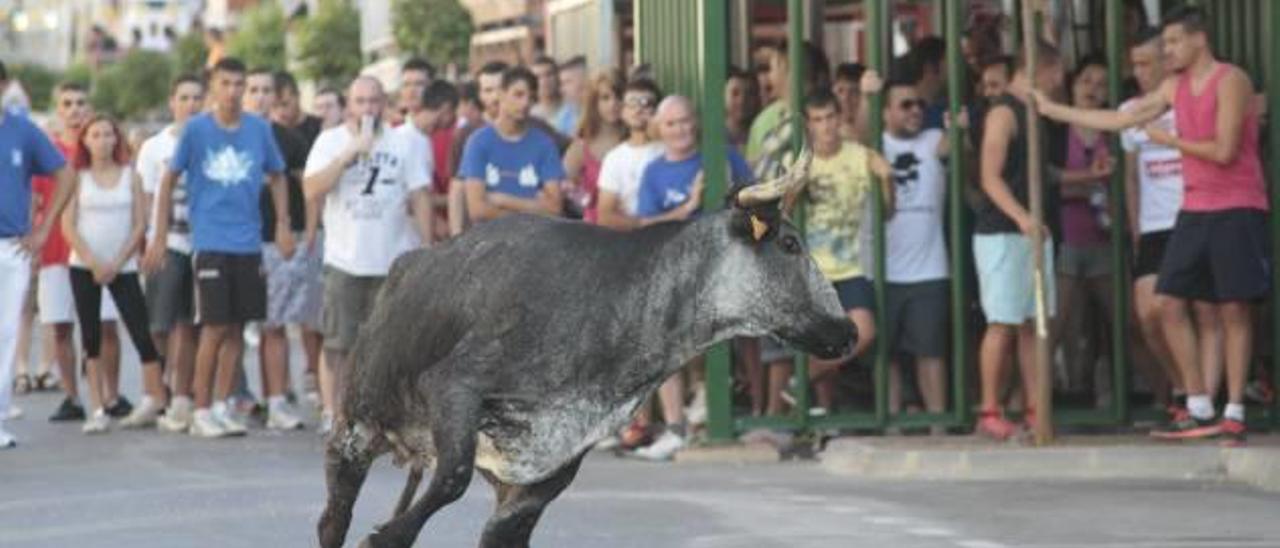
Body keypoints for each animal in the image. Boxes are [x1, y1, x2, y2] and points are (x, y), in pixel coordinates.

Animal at [320, 151, 860, 548]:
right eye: (789, 244)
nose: (849, 331)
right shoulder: (454, 387)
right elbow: (449, 481)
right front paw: (383, 536)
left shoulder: (544, 471)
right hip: (357, 428)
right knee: (333, 519)